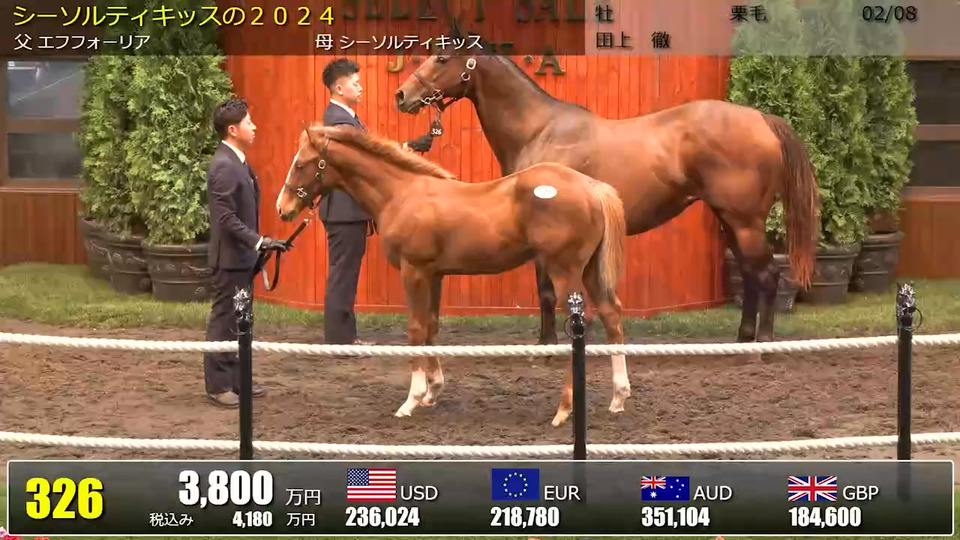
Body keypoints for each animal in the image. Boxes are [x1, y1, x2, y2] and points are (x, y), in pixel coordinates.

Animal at [276, 123, 630, 427]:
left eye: (301, 163)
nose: (283, 208)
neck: (401, 193)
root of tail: (593, 187)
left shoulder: (413, 270)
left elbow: (416, 329)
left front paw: (411, 400)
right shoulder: (434, 274)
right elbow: (431, 326)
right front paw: (433, 391)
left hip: (563, 271)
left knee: (580, 325)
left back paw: (564, 409)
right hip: (588, 271)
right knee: (611, 315)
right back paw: (618, 397)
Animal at [394, 28, 820, 347]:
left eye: (442, 59)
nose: (403, 96)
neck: (539, 129)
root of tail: (762, 119)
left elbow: (548, 292)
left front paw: (548, 343)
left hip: (744, 219)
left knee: (767, 275)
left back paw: (762, 341)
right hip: (729, 219)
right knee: (750, 274)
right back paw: (743, 336)